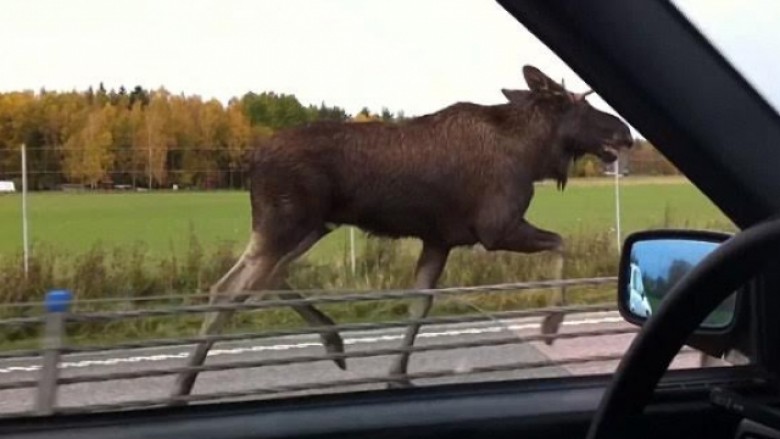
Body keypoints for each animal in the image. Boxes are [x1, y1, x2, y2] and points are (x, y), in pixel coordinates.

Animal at [171, 65, 632, 398]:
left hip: (311, 225)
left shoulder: (440, 239)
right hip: (288, 223)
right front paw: (551, 324)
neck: (533, 154)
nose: (624, 131)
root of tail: (252, 161)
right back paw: (182, 384)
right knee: (230, 289)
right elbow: (561, 243)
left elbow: (419, 304)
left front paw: (398, 374)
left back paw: (331, 339)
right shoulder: (495, 228)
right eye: (578, 103)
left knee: (261, 279)